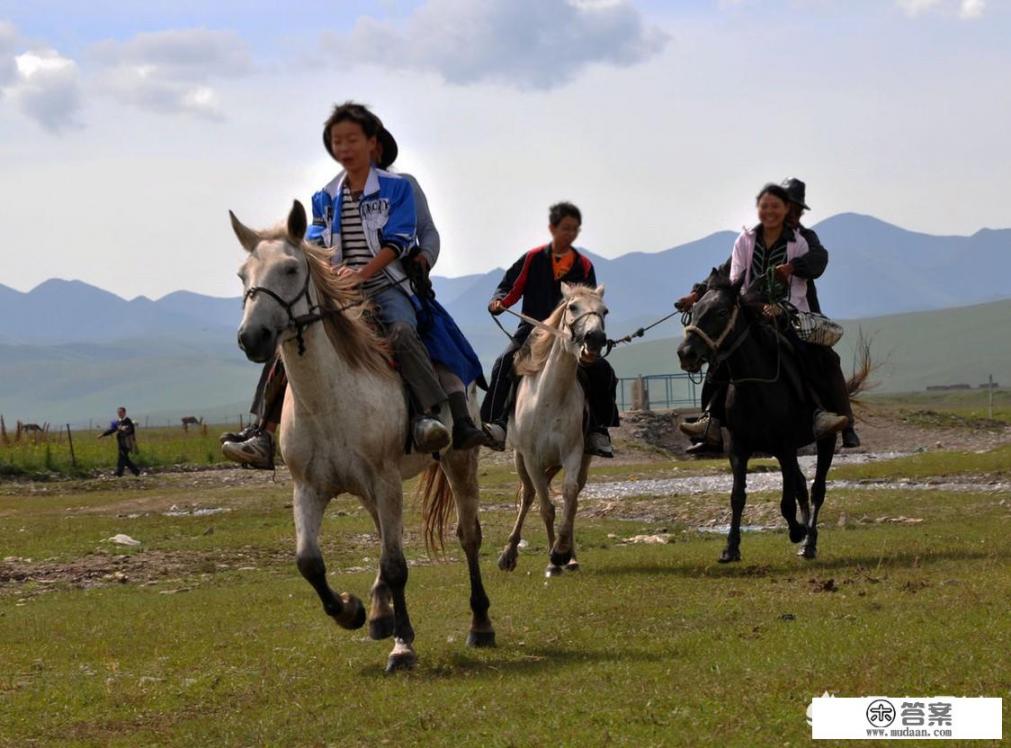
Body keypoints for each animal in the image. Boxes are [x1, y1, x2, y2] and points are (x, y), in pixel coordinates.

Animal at [230, 200, 497, 671]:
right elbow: (309, 562)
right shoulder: (309, 487)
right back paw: (378, 613)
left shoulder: (385, 480)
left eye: (290, 269)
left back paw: (480, 625)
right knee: (386, 538)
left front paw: (403, 646)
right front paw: (351, 611)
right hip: (372, 491)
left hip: (457, 460)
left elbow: (396, 565)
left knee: (468, 535)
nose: (252, 337)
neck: (328, 400)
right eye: (244, 275)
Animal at [497, 283, 606, 574]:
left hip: (581, 460)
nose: (595, 339)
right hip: (520, 458)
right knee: (529, 495)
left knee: (573, 497)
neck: (550, 396)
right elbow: (546, 508)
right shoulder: (532, 458)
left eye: (604, 310)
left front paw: (561, 552)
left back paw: (571, 556)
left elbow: (569, 496)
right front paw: (552, 560)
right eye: (573, 307)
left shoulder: (573, 453)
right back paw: (509, 553)